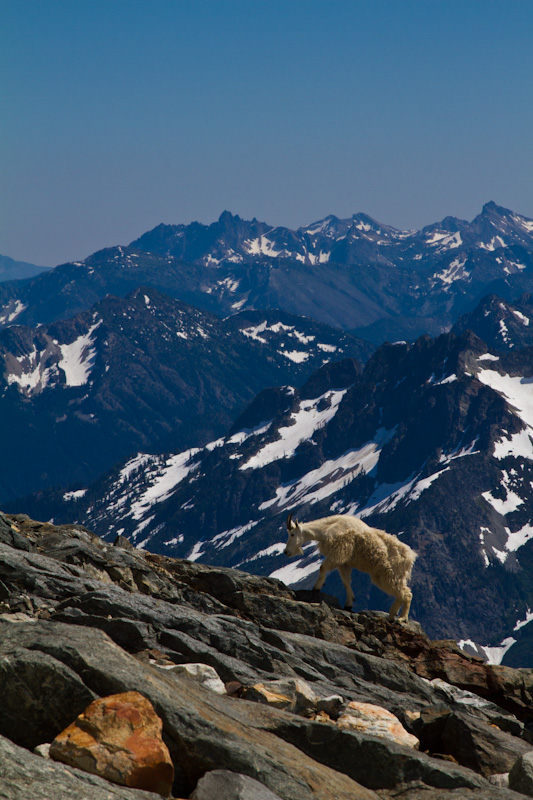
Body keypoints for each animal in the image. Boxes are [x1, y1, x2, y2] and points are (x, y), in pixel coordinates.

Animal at [286, 516, 416, 620]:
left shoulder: (338, 554)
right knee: (401, 593)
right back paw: (392, 615)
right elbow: (346, 581)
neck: (327, 529)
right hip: (392, 576)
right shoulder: (344, 562)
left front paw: (316, 588)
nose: (286, 552)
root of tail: (410, 558)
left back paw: (402, 618)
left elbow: (323, 567)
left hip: (388, 574)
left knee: (406, 594)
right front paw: (349, 604)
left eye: (292, 534)